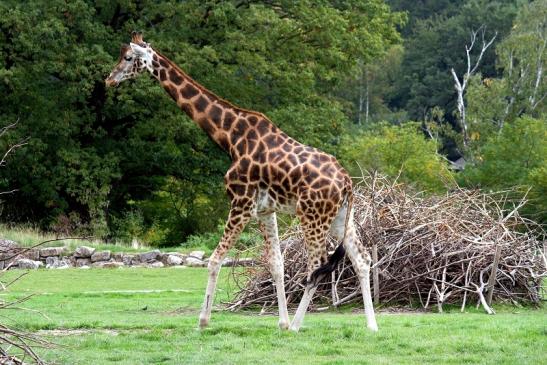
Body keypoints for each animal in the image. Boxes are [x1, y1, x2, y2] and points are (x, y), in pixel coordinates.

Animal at [106, 32, 382, 332]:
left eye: (128, 58)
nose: (109, 79)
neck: (230, 138)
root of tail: (347, 182)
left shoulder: (241, 204)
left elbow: (215, 259)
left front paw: (203, 321)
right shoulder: (265, 210)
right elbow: (276, 264)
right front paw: (281, 323)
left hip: (312, 215)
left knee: (317, 266)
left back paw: (298, 326)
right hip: (340, 216)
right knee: (361, 259)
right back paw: (371, 326)